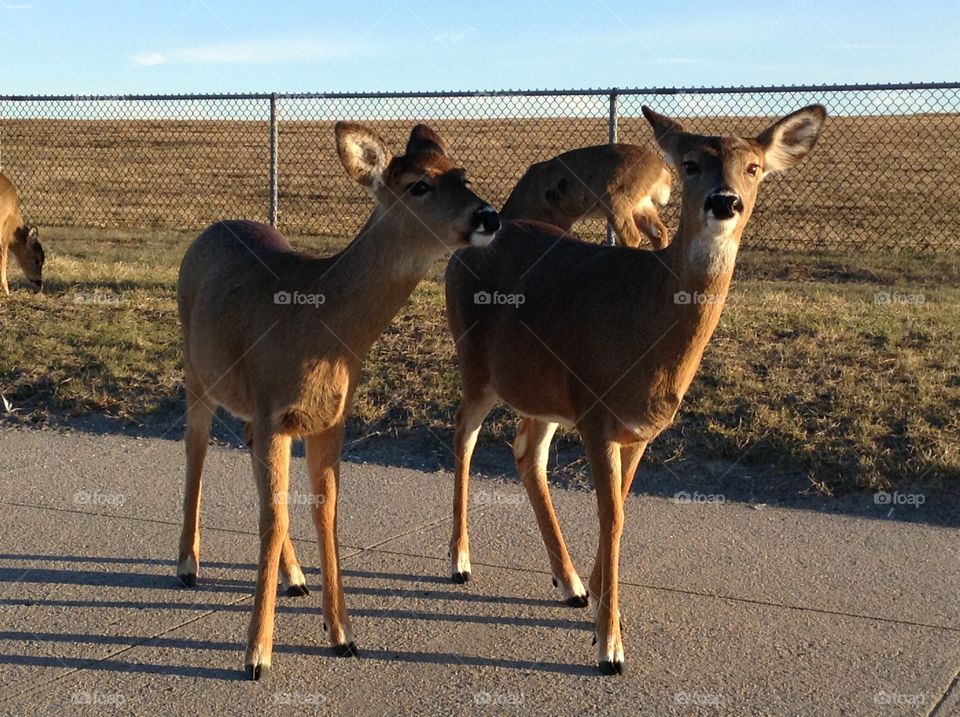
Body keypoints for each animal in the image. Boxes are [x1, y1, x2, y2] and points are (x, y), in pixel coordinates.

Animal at [175, 122, 499, 680]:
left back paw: (295, 577)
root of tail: (208, 231)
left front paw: (343, 634)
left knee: (242, 445)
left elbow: (324, 512)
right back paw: (189, 564)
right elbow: (273, 518)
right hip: (198, 371)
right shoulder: (275, 409)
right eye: (419, 185)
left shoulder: (329, 419)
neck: (321, 325)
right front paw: (256, 654)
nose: (488, 215)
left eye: (462, 174)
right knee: (195, 447)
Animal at [500, 143, 673, 249]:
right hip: (641, 204)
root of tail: (661, 169)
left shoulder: (559, 217)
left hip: (616, 201)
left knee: (632, 237)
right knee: (660, 233)